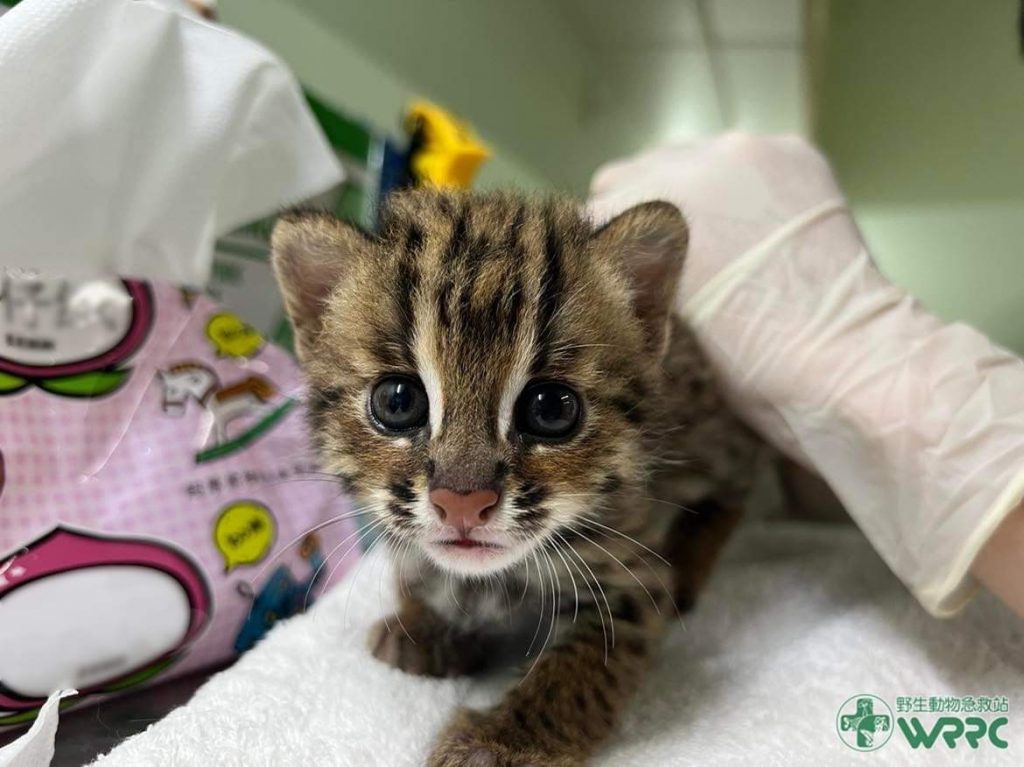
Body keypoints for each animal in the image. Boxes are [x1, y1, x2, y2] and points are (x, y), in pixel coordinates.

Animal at [272, 190, 761, 765]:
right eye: (397, 401)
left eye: (551, 409)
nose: (462, 502)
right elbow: (412, 566)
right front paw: (424, 625)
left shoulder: (629, 575)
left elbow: (577, 671)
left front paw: (498, 742)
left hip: (713, 442)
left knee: (740, 482)